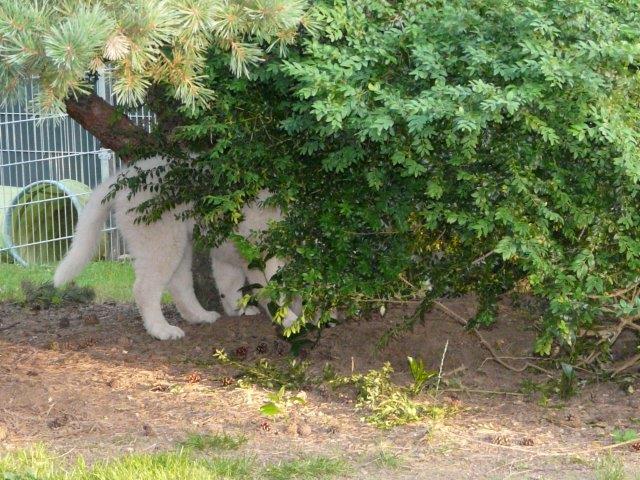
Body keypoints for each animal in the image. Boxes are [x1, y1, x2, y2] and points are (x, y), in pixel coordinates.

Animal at [54, 156, 299, 340]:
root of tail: (122, 179)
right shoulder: (262, 252)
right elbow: (273, 288)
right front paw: (289, 318)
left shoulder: (228, 252)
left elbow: (231, 285)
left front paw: (240, 309)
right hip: (162, 241)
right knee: (145, 288)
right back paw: (161, 330)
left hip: (179, 243)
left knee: (179, 285)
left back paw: (199, 316)